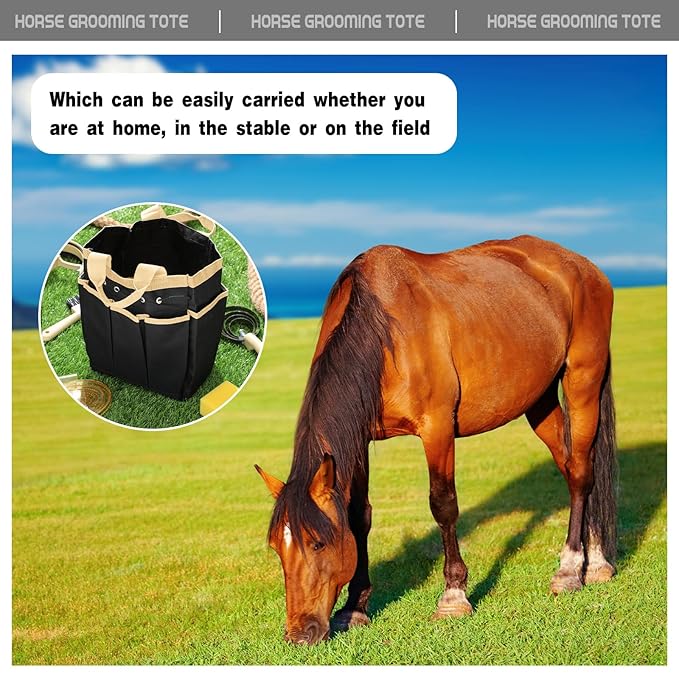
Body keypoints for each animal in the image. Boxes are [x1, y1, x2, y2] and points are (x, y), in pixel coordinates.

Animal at [256, 235, 617, 645]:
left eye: (317, 543)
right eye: (276, 548)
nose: (299, 633)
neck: (384, 332)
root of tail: (584, 267)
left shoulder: (438, 429)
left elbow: (443, 505)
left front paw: (454, 596)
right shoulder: (359, 441)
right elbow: (359, 515)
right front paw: (355, 606)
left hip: (583, 381)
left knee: (582, 473)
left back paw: (575, 567)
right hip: (539, 401)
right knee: (571, 467)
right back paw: (592, 560)